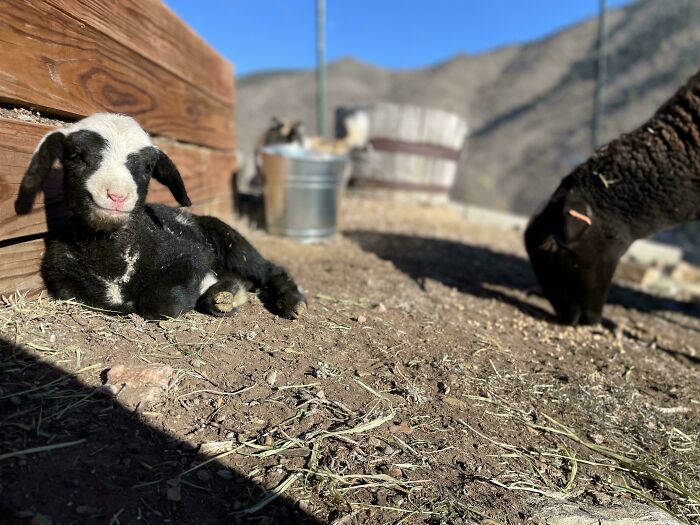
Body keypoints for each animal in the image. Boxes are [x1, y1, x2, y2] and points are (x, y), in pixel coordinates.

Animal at [15, 113, 307, 320]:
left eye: (147, 168)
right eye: (76, 156)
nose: (117, 195)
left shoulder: (189, 257)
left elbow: (163, 303)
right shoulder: (61, 278)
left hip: (231, 240)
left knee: (269, 270)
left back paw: (291, 303)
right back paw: (226, 294)